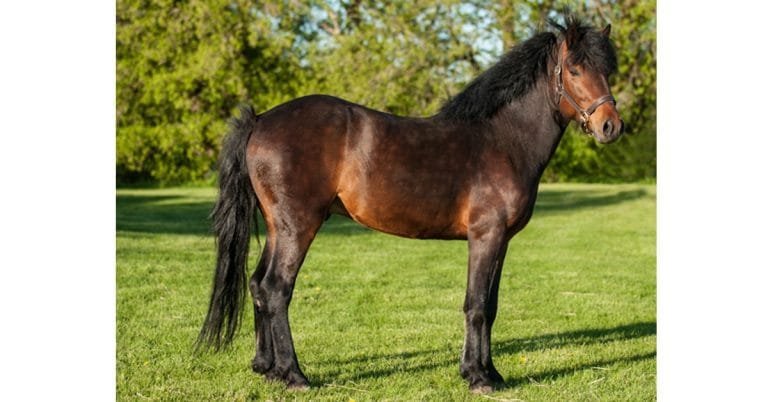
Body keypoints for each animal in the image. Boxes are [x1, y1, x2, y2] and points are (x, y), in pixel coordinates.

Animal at [197, 16, 624, 393]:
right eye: (574, 69)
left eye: (608, 69)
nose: (611, 126)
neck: (502, 139)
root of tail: (260, 120)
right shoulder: (485, 236)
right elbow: (476, 305)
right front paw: (477, 377)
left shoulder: (501, 241)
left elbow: (491, 305)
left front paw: (491, 372)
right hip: (297, 226)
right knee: (275, 289)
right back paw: (293, 374)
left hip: (277, 227)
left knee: (257, 284)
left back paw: (266, 369)